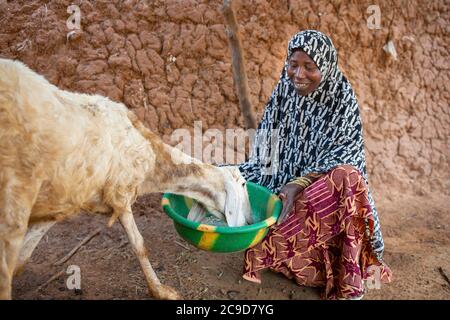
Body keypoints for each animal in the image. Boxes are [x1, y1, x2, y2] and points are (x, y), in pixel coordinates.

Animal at [0, 58, 251, 302]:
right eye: (243, 184)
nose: (249, 221)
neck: (152, 157)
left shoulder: (62, 203)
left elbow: (22, 260)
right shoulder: (121, 193)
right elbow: (140, 245)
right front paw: (161, 291)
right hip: (14, 201)